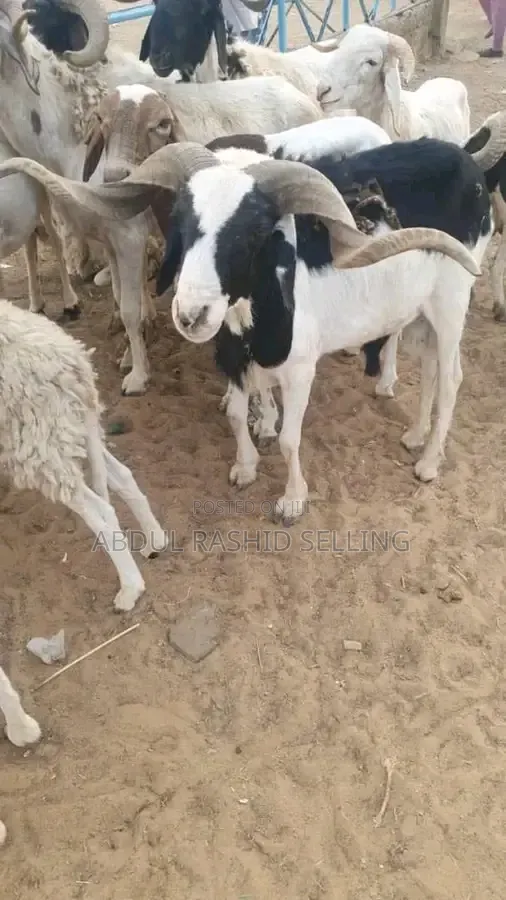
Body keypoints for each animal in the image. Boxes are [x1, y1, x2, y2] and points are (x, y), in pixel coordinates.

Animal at [0, 297, 166, 604]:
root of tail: (75, 363)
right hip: (61, 431)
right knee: (122, 475)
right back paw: (155, 540)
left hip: (38, 442)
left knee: (101, 511)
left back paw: (130, 587)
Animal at [86, 142, 487, 526]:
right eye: (180, 222)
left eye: (254, 233)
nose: (192, 314)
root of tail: (467, 162)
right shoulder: (236, 356)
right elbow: (236, 414)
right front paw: (245, 466)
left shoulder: (299, 370)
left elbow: (290, 440)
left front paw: (292, 502)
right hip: (419, 314)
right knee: (430, 368)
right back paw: (415, 436)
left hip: (451, 303)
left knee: (451, 379)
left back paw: (429, 463)